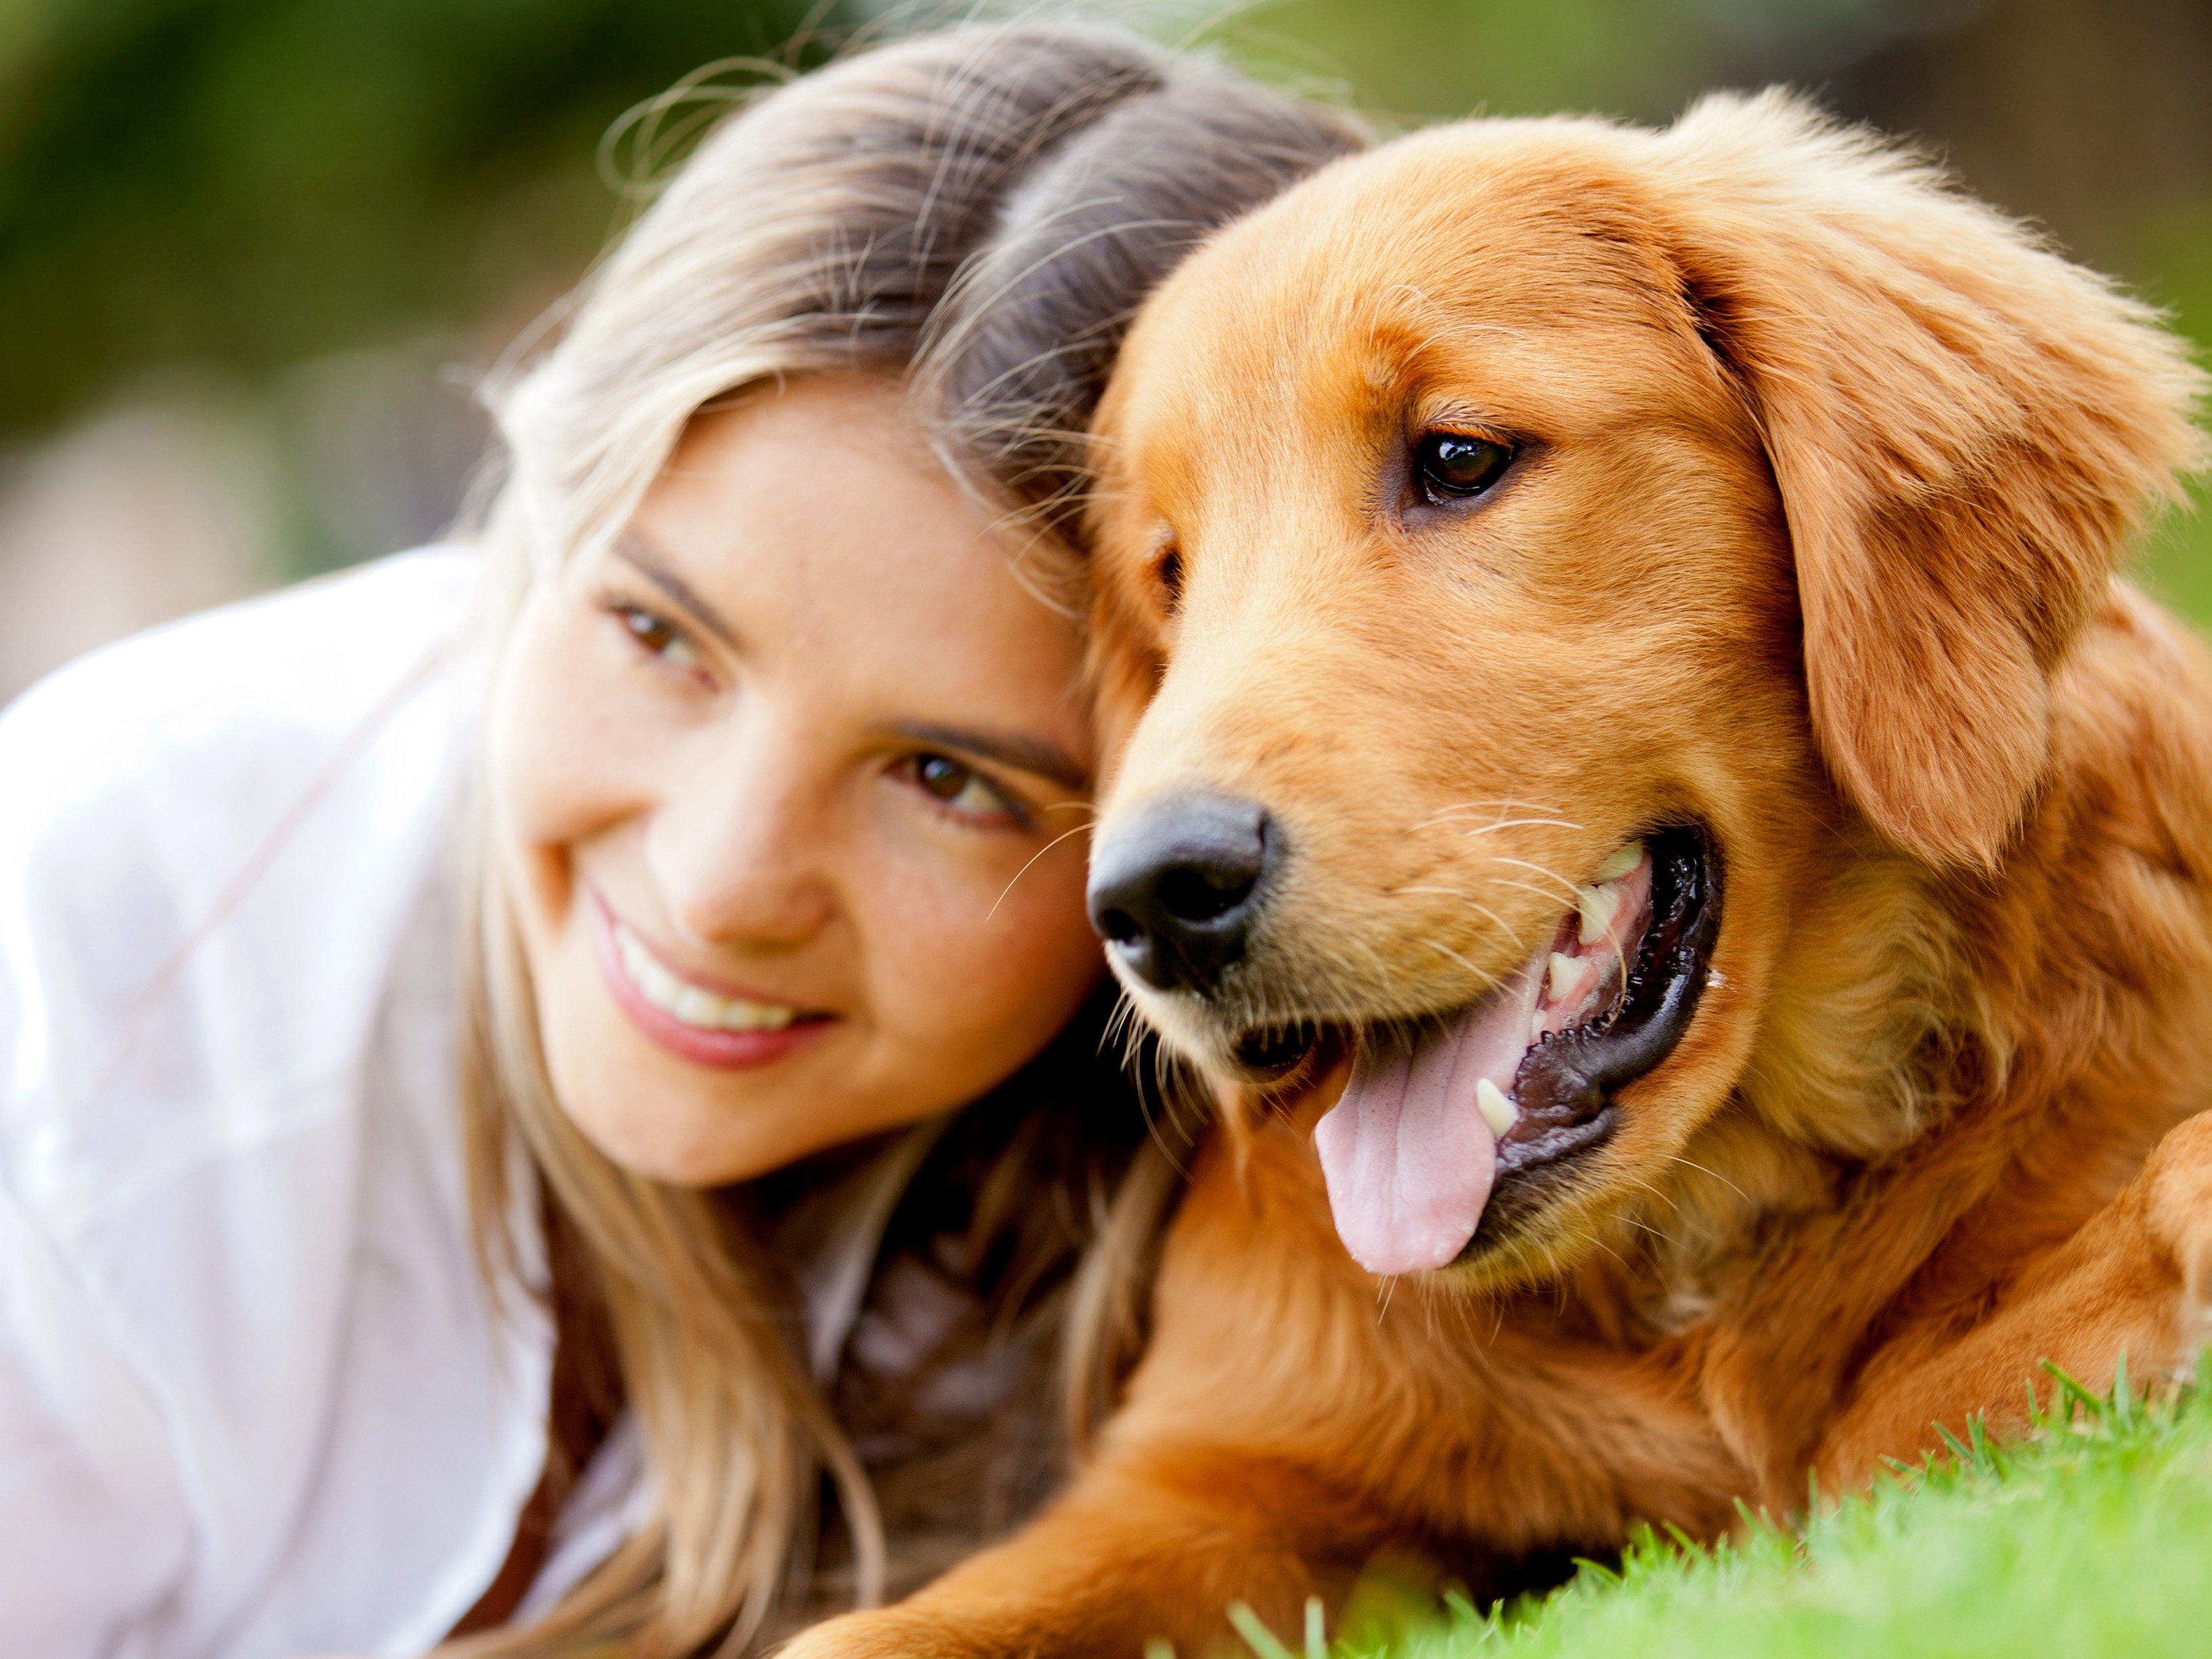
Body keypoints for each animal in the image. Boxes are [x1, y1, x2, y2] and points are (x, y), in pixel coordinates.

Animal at [787, 87, 2203, 1659]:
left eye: (1457, 459)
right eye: (1166, 576)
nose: (1151, 903)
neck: (1681, 1246)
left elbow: (1891, 1411)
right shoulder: (1219, 1469)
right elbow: (859, 1632)